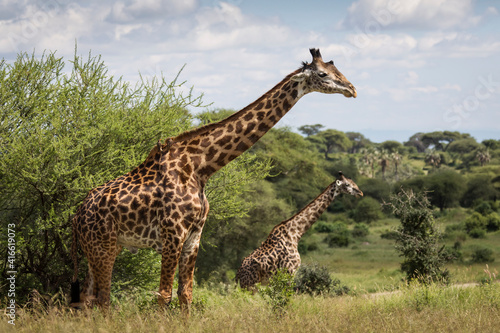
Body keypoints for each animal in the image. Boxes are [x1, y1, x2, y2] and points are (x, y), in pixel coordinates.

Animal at [71, 48, 360, 312]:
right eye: (323, 74)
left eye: (337, 69)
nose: (353, 89)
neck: (201, 167)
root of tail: (76, 216)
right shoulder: (172, 234)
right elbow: (164, 295)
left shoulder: (194, 235)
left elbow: (185, 294)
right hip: (103, 247)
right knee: (102, 299)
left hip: (103, 247)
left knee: (86, 297)